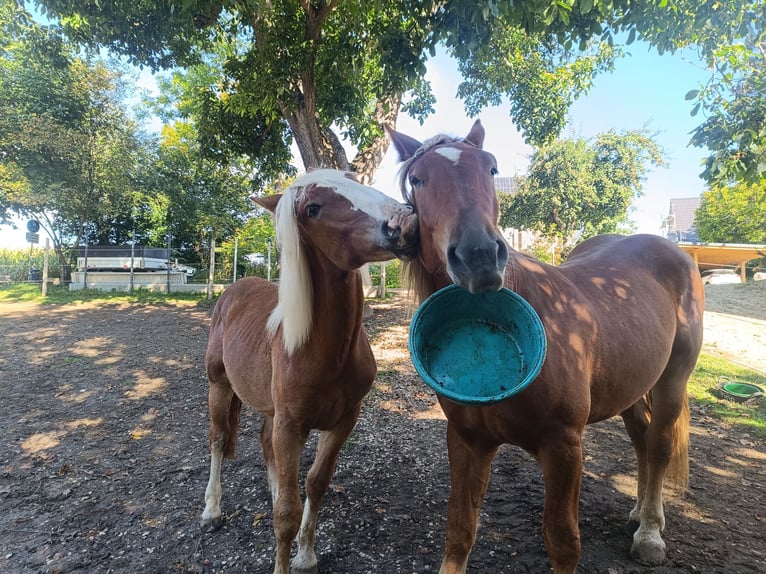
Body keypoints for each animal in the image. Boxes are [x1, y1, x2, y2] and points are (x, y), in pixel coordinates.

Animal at [201, 169, 416, 572]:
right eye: (312, 209)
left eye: (354, 179)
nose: (403, 222)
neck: (326, 353)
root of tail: (234, 289)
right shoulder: (291, 425)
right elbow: (286, 512)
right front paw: (285, 559)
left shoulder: (344, 420)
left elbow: (315, 483)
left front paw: (305, 554)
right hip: (219, 387)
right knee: (219, 441)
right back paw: (211, 510)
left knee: (265, 445)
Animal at [390, 122, 708, 574]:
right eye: (418, 179)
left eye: (490, 168)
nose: (479, 256)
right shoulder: (468, 441)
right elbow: (460, 528)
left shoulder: (563, 447)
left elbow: (562, 542)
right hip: (631, 387)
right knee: (642, 440)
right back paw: (639, 513)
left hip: (673, 379)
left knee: (660, 445)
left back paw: (650, 532)